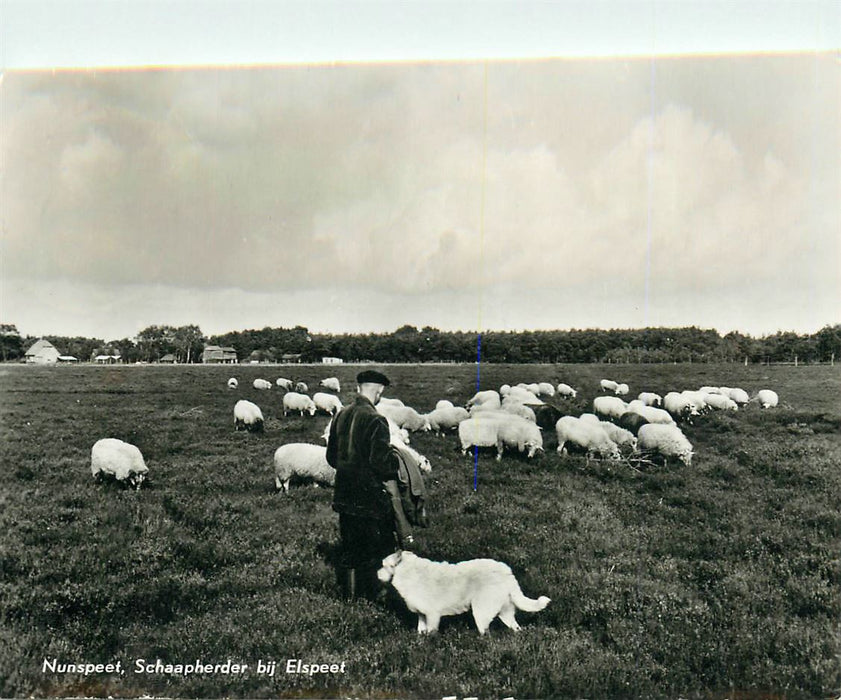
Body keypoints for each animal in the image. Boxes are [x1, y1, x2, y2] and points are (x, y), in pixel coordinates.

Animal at [376, 552, 548, 636]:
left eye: (383, 565)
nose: (376, 574)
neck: (409, 571)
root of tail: (506, 572)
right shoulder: (422, 614)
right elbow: (421, 631)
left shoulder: (432, 615)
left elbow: (430, 634)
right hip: (504, 613)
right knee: (516, 629)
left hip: (481, 612)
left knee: (486, 634)